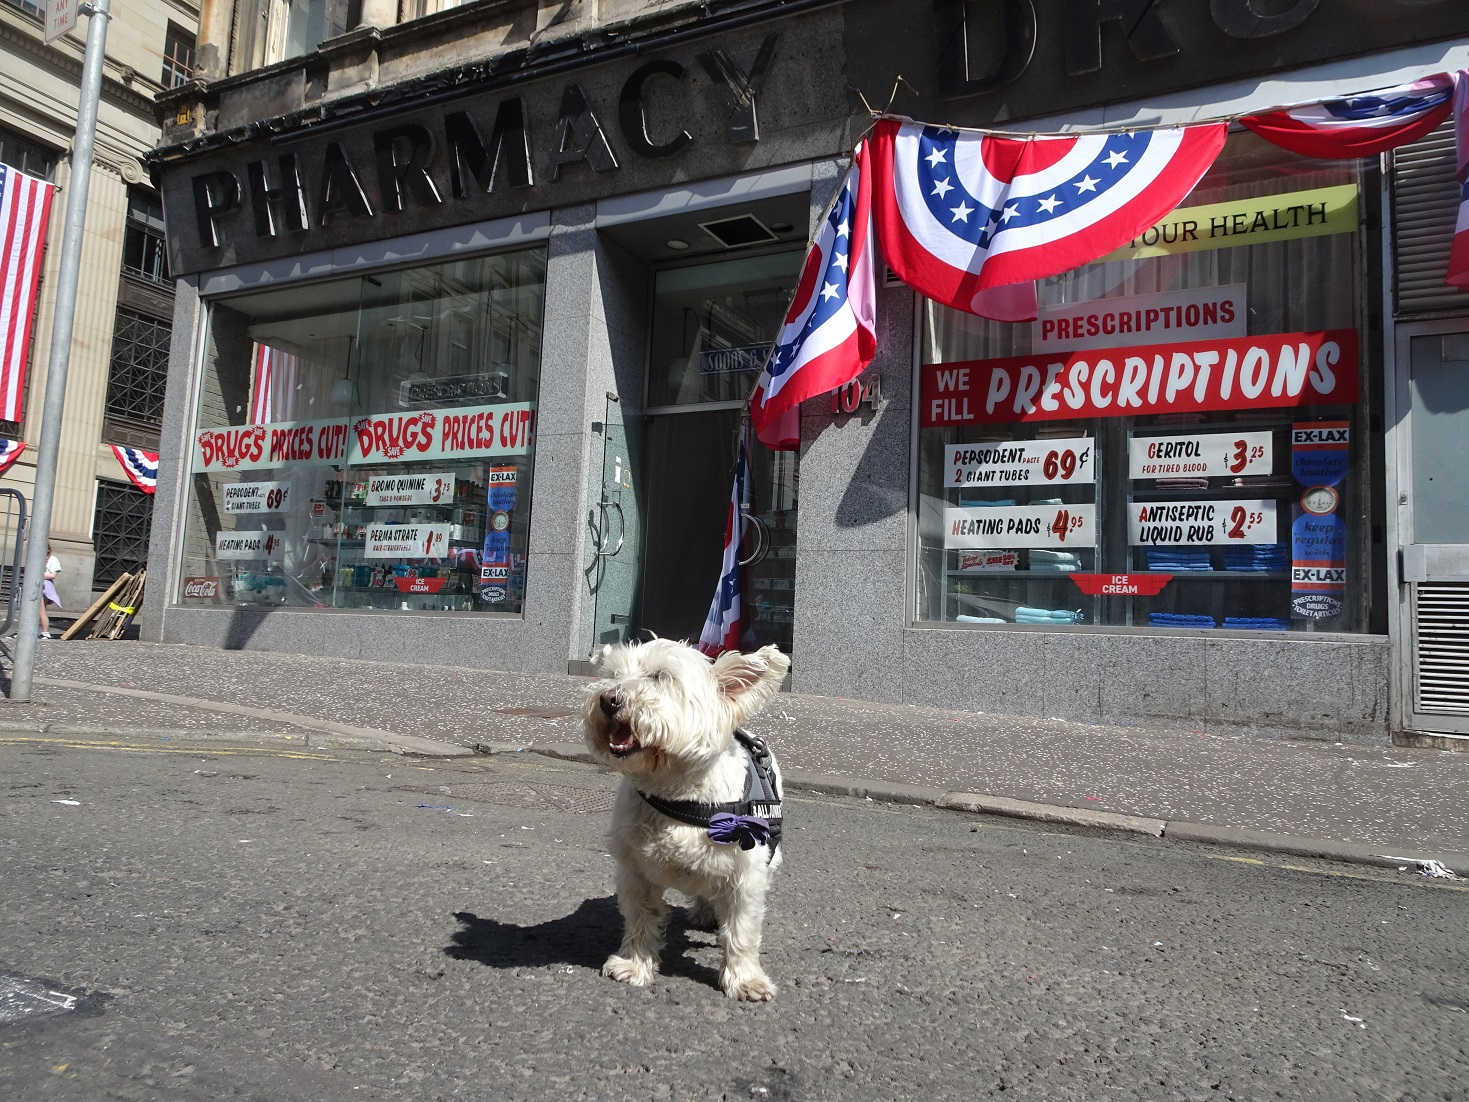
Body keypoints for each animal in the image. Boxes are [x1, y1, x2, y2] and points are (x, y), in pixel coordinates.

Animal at [581, 634, 793, 1005]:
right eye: (612, 675)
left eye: (660, 677)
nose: (608, 699)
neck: (678, 794)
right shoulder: (635, 870)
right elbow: (640, 918)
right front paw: (634, 965)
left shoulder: (746, 875)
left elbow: (742, 930)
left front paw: (746, 981)